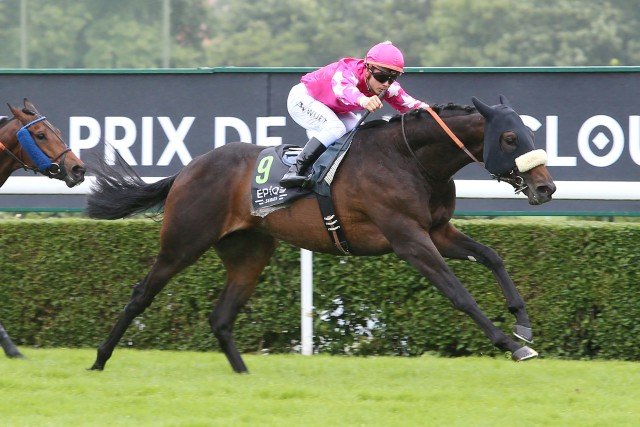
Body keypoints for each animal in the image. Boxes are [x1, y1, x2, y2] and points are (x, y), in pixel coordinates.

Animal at [86, 95, 556, 373]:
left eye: (532, 132)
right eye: (509, 137)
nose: (546, 188)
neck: (409, 159)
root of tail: (188, 169)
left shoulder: (437, 230)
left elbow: (492, 256)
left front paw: (523, 325)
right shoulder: (408, 238)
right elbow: (459, 293)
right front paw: (510, 344)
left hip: (249, 252)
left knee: (221, 317)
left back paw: (243, 374)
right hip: (184, 241)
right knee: (141, 294)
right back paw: (100, 358)